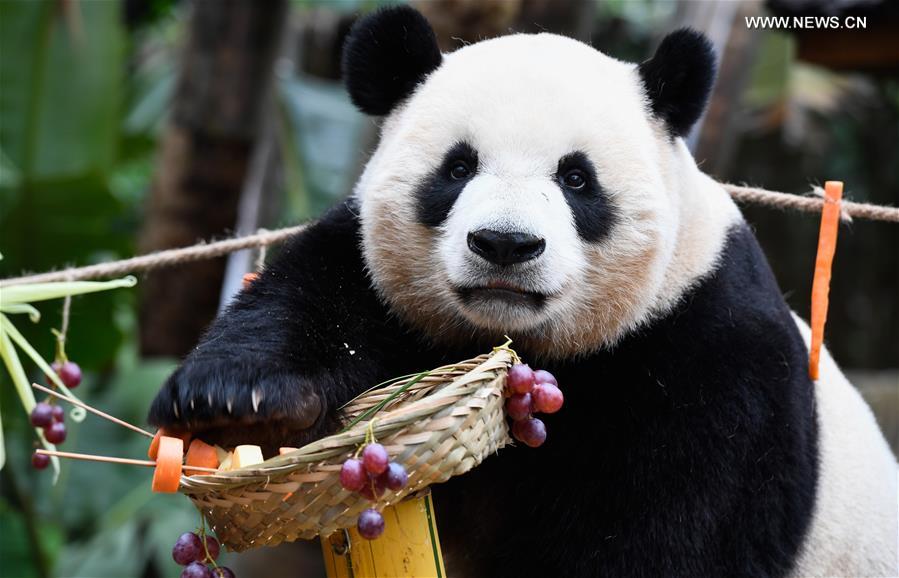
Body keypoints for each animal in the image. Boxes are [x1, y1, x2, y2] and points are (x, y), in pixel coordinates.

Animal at [149, 6, 898, 577]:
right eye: (457, 167)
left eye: (577, 179)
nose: (505, 244)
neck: (536, 344)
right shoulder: (372, 276)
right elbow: (306, 303)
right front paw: (236, 404)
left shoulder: (708, 352)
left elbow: (667, 535)